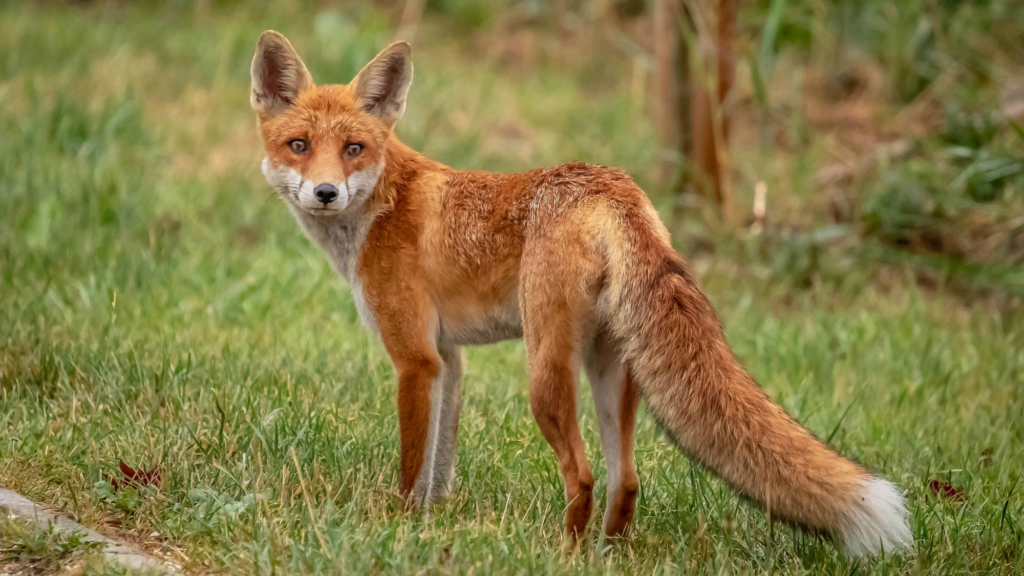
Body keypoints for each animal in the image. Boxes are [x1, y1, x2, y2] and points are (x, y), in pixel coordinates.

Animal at [250, 31, 913, 556]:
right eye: (299, 146)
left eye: (353, 149)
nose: (326, 193)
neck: (380, 206)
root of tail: (613, 186)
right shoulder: (449, 359)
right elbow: (440, 464)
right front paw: (431, 525)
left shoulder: (415, 358)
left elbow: (414, 466)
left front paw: (400, 528)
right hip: (611, 372)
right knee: (627, 480)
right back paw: (608, 553)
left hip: (545, 376)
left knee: (585, 476)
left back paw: (563, 552)